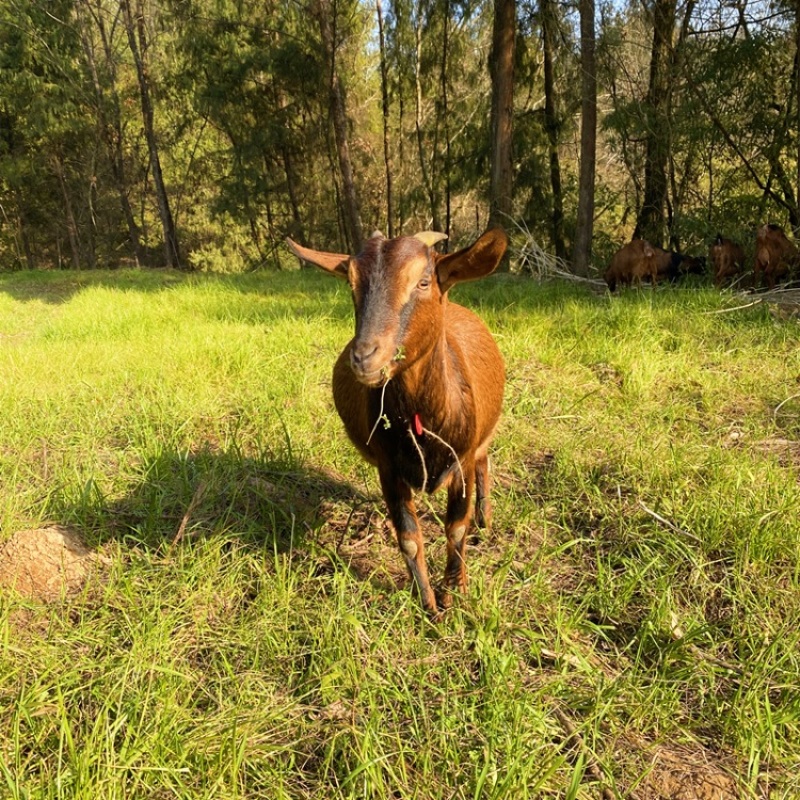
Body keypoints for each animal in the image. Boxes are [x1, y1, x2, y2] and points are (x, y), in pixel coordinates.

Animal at [288, 228, 510, 616]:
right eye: (351, 283)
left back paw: (485, 521)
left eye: (423, 281)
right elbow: (408, 538)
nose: (364, 357)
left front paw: (455, 594)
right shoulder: (388, 468)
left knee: (485, 461)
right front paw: (429, 604)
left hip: (480, 441)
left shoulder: (462, 461)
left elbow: (456, 528)